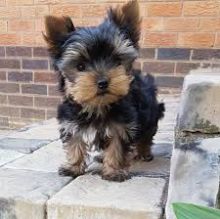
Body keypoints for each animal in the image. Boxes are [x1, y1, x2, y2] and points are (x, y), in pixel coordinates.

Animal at [43, 0, 163, 181]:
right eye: (80, 66)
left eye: (117, 61)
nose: (102, 82)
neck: (98, 106)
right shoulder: (70, 121)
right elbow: (74, 143)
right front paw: (73, 167)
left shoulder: (122, 125)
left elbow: (116, 146)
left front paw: (113, 171)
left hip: (150, 113)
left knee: (146, 135)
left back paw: (143, 152)